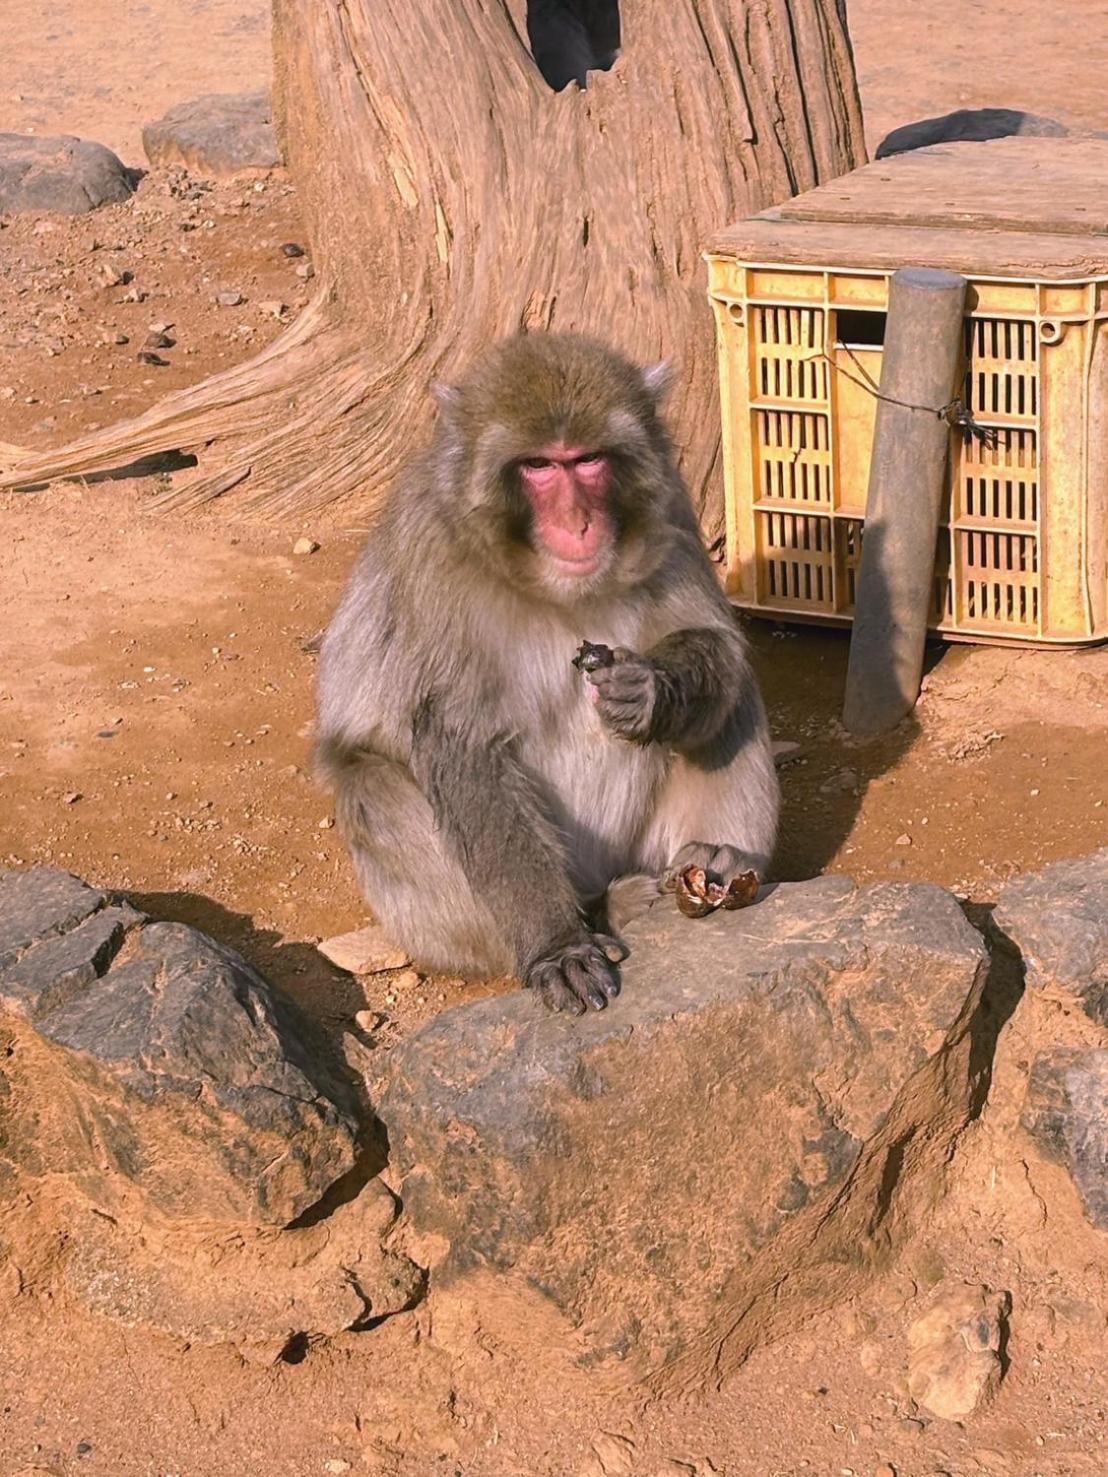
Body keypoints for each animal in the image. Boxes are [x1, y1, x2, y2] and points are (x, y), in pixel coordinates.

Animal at [313, 332, 780, 1016]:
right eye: (538, 467)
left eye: (587, 461)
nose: (578, 522)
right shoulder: (434, 556)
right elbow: (464, 746)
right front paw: (557, 946)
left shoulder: (670, 503)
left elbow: (715, 643)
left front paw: (650, 690)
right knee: (371, 785)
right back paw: (601, 911)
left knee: (733, 696)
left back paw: (714, 862)